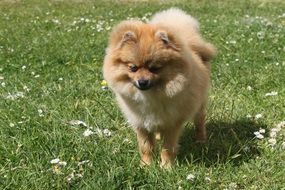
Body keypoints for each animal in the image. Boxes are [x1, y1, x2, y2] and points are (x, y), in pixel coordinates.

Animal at [103, 8, 216, 167]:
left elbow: (167, 148)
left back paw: (200, 140)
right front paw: (146, 166)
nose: (142, 82)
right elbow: (145, 147)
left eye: (155, 68)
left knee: (199, 120)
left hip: (199, 104)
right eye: (133, 68)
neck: (151, 95)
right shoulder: (140, 123)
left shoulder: (172, 123)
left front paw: (166, 167)